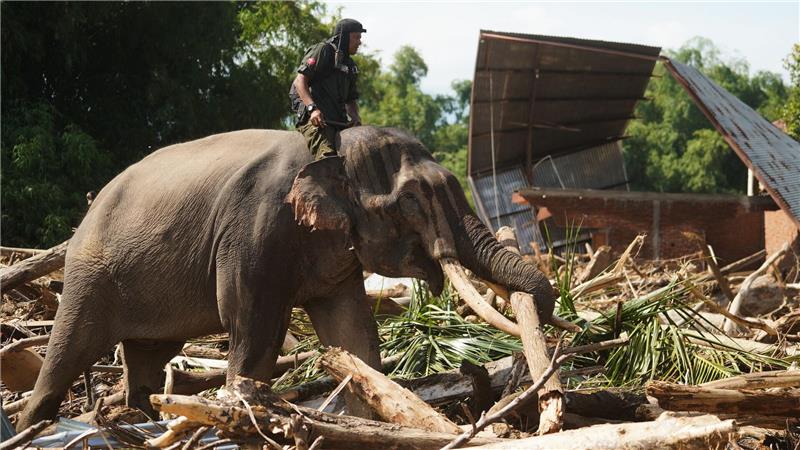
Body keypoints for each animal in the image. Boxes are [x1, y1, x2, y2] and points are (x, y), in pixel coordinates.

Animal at [17, 126, 557, 430]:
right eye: (408, 201)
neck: (331, 149)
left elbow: (353, 336)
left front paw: (367, 418)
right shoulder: (252, 234)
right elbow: (254, 331)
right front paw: (242, 410)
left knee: (147, 359)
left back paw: (142, 420)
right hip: (89, 276)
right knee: (68, 351)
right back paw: (35, 425)